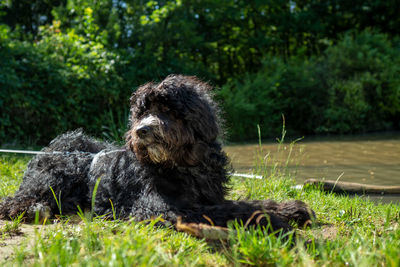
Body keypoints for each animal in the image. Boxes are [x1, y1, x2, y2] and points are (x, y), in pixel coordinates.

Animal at [0, 75, 312, 234]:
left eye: (167, 110)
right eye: (142, 112)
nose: (141, 131)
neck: (183, 167)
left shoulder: (208, 196)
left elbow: (245, 202)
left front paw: (288, 208)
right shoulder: (161, 209)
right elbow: (230, 210)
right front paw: (271, 221)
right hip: (58, 175)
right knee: (14, 200)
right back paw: (33, 209)